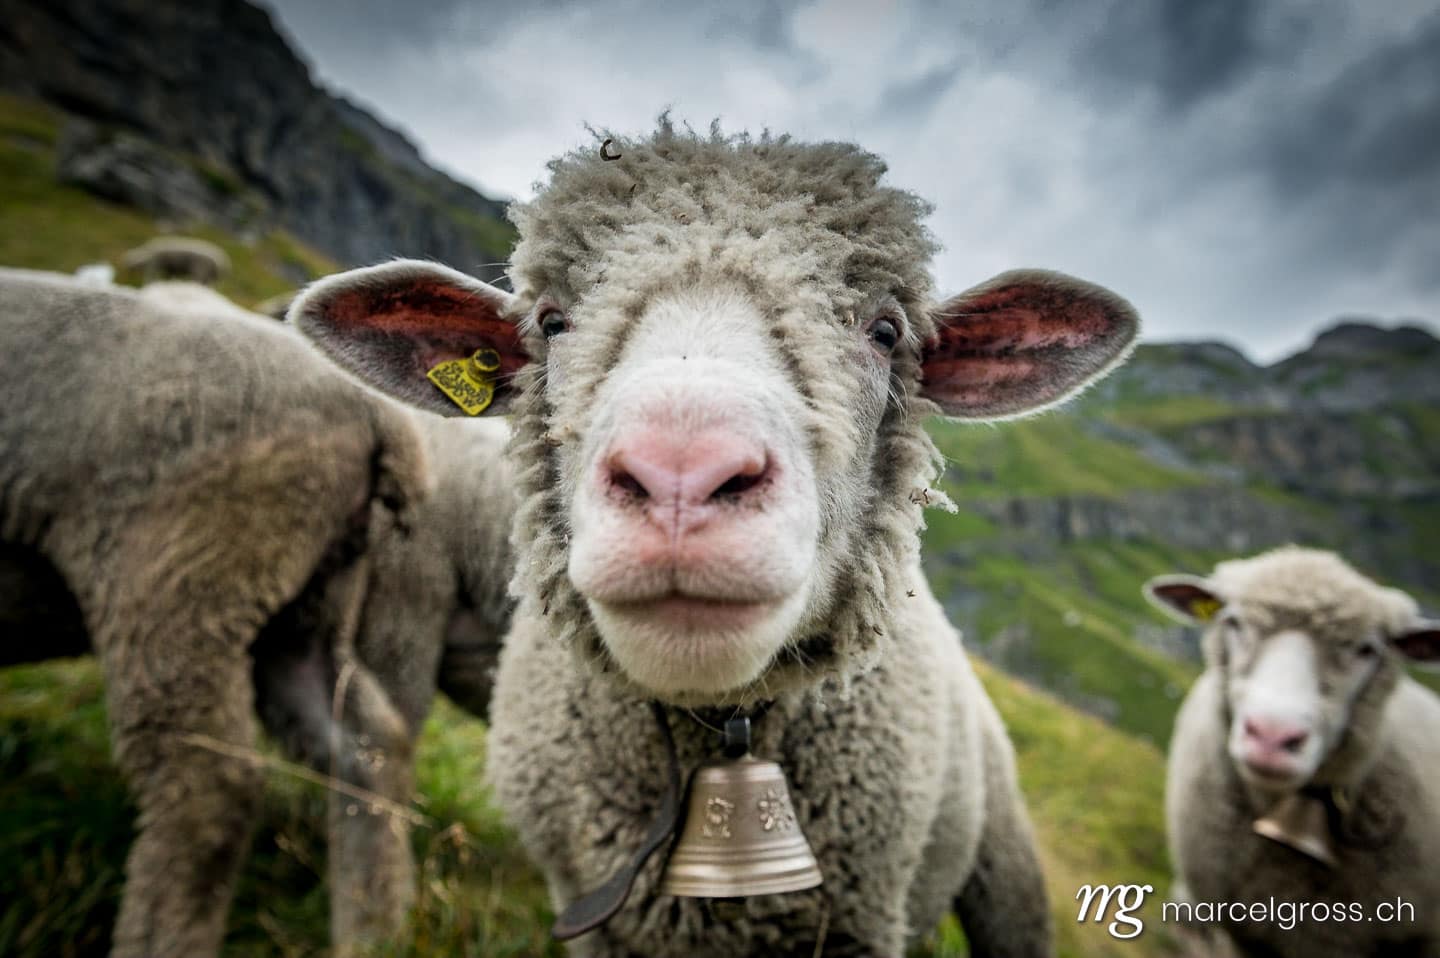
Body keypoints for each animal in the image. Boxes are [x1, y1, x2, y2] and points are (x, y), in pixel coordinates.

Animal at [0, 268, 437, 958]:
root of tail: (379, 413)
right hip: (307, 604)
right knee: (368, 749)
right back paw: (373, 933)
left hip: (180, 579)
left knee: (209, 791)